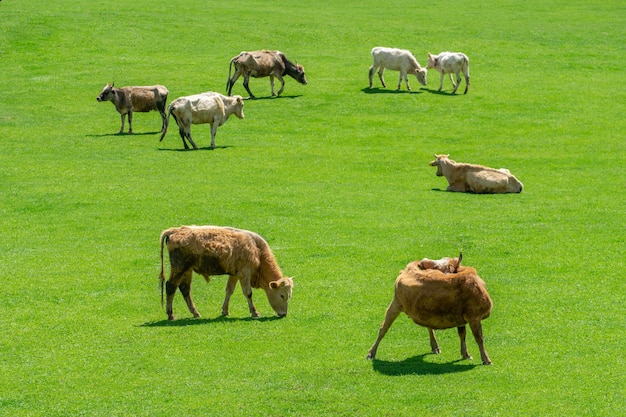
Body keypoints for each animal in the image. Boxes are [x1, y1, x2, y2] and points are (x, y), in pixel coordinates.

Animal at [157, 224, 292, 318]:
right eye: (282, 295)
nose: (284, 314)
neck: (257, 248)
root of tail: (176, 230)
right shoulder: (244, 273)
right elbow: (248, 293)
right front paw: (254, 312)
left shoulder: (235, 274)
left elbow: (229, 290)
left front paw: (225, 310)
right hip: (179, 269)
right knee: (171, 286)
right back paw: (171, 314)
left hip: (187, 270)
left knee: (185, 289)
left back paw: (195, 313)